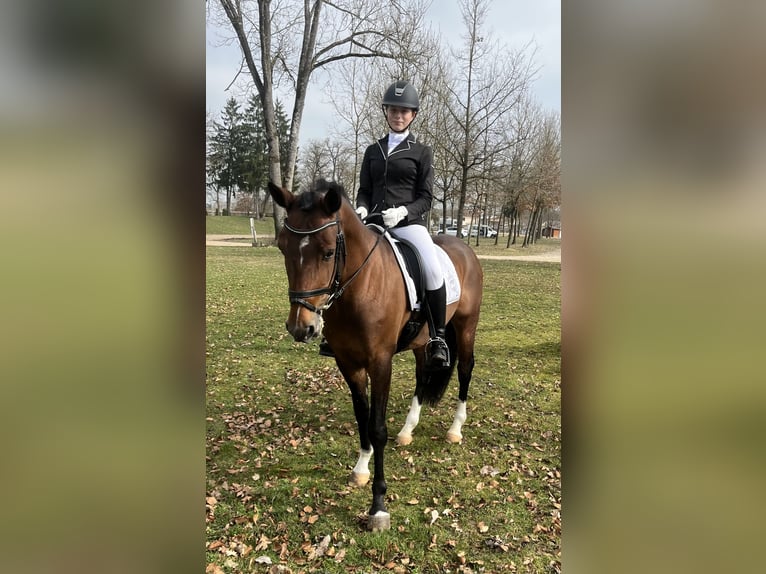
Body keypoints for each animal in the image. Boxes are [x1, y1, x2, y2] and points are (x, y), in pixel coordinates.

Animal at [270, 181, 484, 536]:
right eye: (283, 249)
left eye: (328, 252)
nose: (302, 327)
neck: (359, 285)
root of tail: (462, 246)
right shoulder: (348, 363)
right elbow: (363, 419)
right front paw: (360, 469)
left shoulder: (381, 362)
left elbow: (378, 427)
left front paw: (378, 506)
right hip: (422, 340)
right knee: (422, 374)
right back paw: (408, 430)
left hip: (466, 327)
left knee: (466, 369)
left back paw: (456, 429)